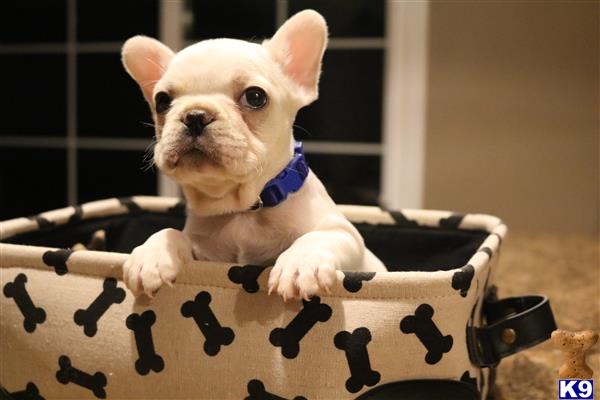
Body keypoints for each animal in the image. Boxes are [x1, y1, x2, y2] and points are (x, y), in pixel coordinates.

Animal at [119, 10, 386, 300]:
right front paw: (151, 255)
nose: (195, 115)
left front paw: (299, 264)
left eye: (255, 97)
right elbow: (168, 231)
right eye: (162, 101)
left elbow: (318, 237)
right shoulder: (205, 254)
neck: (244, 211)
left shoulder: (346, 235)